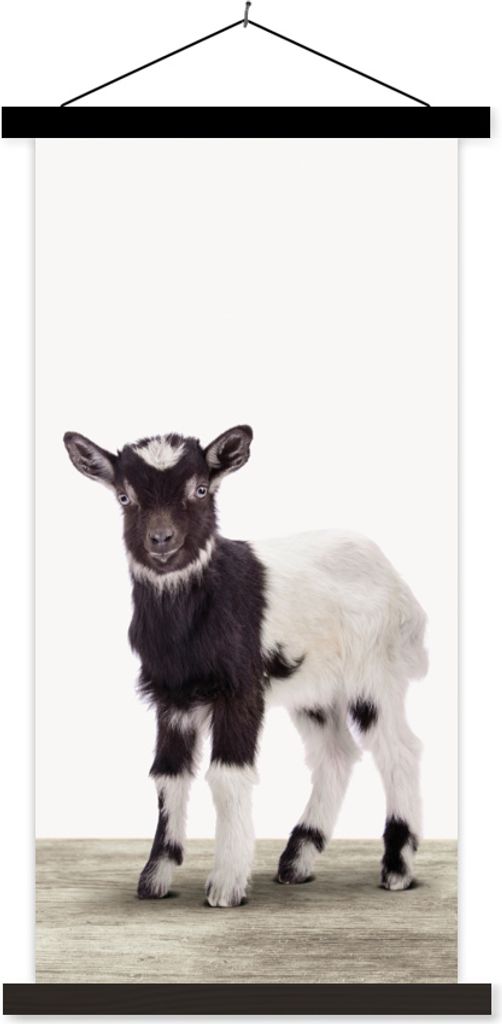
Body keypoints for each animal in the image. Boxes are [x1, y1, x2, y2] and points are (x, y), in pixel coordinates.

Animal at [64, 425, 427, 907]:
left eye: (200, 489)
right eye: (125, 496)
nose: (161, 540)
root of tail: (397, 582)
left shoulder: (239, 689)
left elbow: (226, 775)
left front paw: (226, 884)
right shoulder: (171, 696)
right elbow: (167, 776)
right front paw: (155, 878)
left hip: (374, 673)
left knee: (398, 750)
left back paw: (397, 868)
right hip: (314, 687)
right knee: (335, 753)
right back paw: (297, 860)